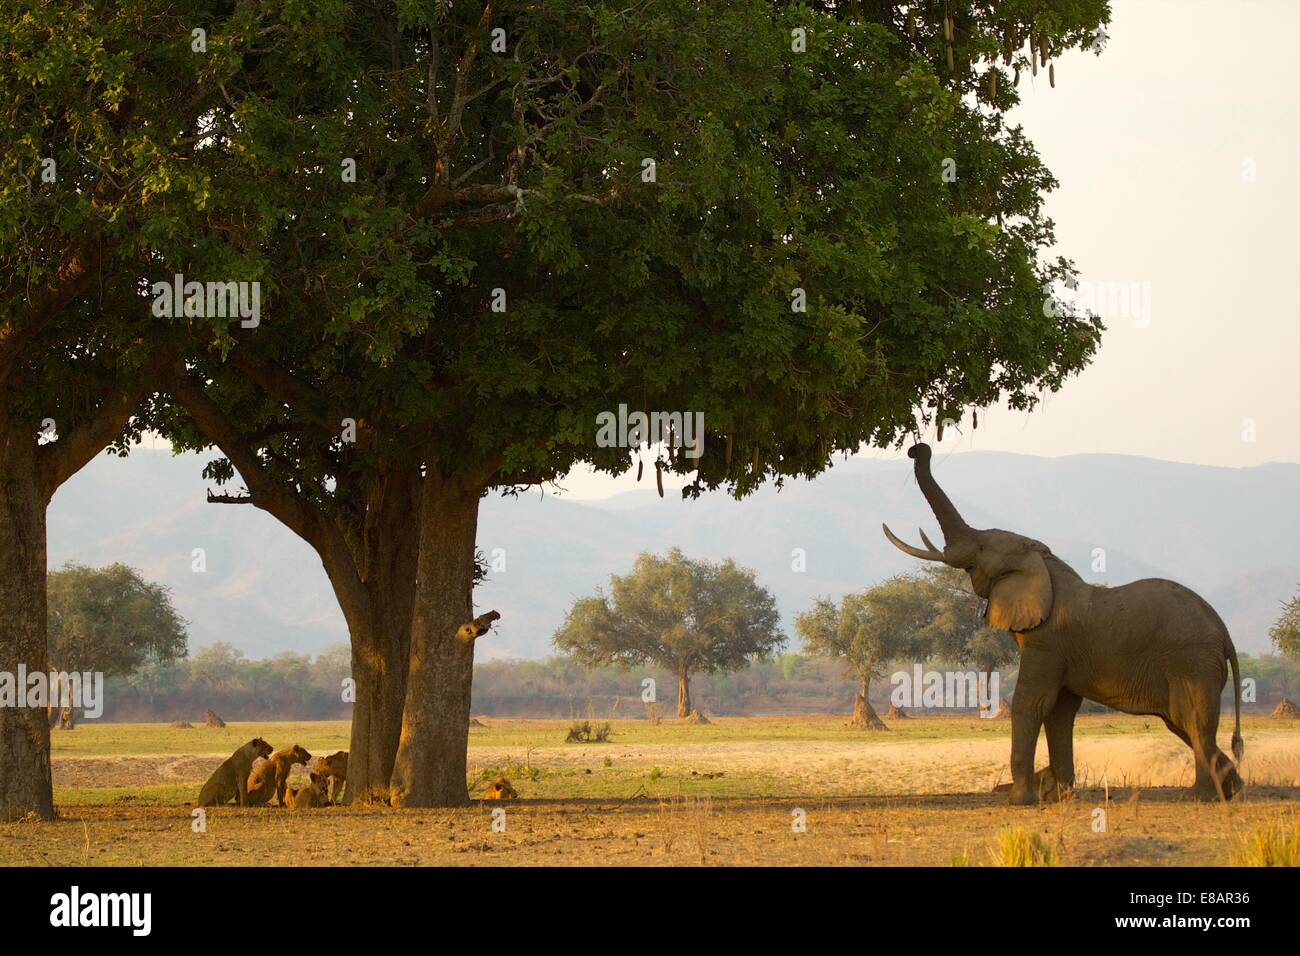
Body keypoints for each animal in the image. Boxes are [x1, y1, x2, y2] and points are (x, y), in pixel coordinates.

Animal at [878, 444, 1242, 806]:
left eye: (980, 550)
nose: (918, 449)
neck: (1044, 564)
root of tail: (1225, 635)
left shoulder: (1048, 642)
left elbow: (1031, 702)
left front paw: (1021, 800)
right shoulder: (1064, 653)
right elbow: (1059, 712)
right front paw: (1060, 796)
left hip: (1190, 660)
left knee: (1191, 719)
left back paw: (1202, 795)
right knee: (1182, 724)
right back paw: (1231, 788)